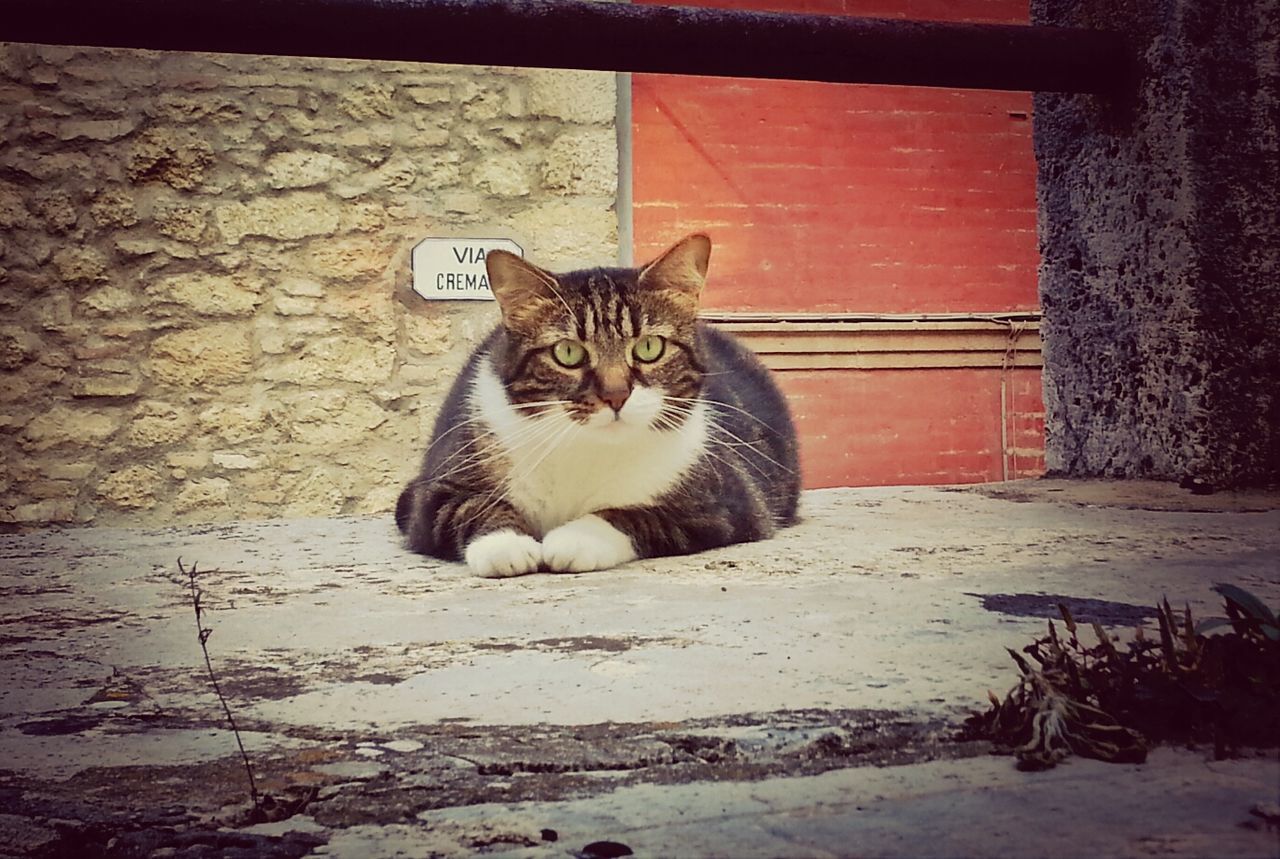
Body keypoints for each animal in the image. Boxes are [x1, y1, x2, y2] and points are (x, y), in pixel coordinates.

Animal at [396, 232, 798, 578]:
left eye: (649, 347)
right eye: (568, 353)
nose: (615, 394)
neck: (586, 448)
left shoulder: (726, 503)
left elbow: (641, 514)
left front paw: (577, 538)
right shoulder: (429, 496)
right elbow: (468, 507)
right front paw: (505, 546)